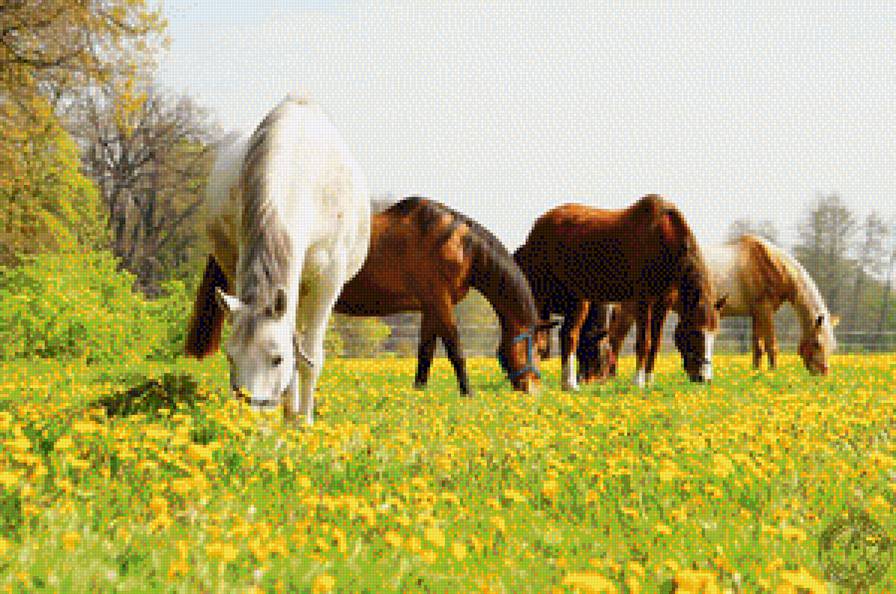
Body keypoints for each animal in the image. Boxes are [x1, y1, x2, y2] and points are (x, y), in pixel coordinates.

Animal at [184, 95, 371, 425]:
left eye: (277, 359)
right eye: (230, 356)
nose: (252, 417)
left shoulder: (327, 283)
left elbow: (308, 356)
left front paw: (304, 422)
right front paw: (290, 414)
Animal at [334, 197, 551, 394]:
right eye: (540, 350)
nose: (533, 391)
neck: (460, 245)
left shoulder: (430, 308)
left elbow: (425, 353)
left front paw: (419, 391)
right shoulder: (441, 303)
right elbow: (456, 351)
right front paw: (467, 393)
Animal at [514, 194, 725, 390]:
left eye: (715, 333)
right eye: (695, 332)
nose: (704, 378)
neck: (664, 238)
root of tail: (538, 226)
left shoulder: (662, 303)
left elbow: (655, 343)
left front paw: (649, 380)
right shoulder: (643, 300)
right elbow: (644, 341)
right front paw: (638, 382)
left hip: (578, 298)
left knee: (569, 335)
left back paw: (569, 383)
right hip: (539, 295)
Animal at [591, 234, 839, 377]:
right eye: (817, 343)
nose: (823, 373)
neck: (771, 262)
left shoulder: (756, 313)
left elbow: (757, 347)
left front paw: (757, 373)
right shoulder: (765, 310)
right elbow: (771, 345)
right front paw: (773, 373)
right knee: (616, 338)